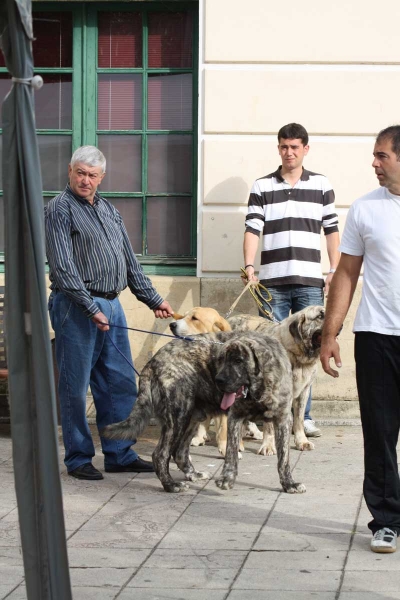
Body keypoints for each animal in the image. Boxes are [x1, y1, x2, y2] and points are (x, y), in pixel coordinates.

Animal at [101, 330, 304, 494]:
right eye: (220, 360)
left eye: (238, 361)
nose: (219, 380)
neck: (259, 389)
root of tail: (153, 361)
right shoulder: (235, 417)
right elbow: (231, 453)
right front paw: (227, 478)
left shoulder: (283, 420)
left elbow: (284, 458)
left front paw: (289, 484)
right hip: (178, 416)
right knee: (160, 455)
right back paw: (171, 485)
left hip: (193, 416)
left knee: (180, 452)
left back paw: (193, 475)